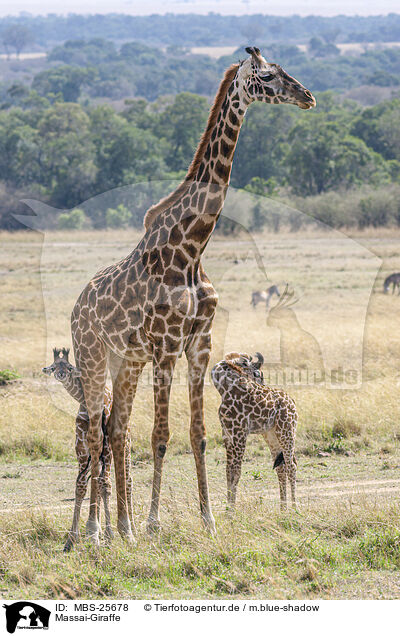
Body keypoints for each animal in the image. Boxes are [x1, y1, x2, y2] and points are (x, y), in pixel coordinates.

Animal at [211, 350, 296, 510]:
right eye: (257, 373)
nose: (262, 385)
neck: (225, 389)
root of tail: (292, 402)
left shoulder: (240, 434)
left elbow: (236, 472)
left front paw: (232, 511)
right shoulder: (227, 435)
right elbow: (228, 472)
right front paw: (228, 509)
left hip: (287, 432)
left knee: (291, 466)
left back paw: (295, 509)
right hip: (272, 436)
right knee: (281, 468)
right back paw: (283, 509)